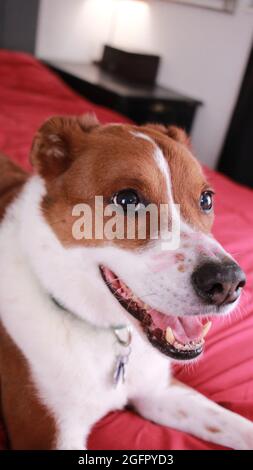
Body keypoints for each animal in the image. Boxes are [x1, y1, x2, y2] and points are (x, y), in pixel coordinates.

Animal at [0, 113, 252, 448]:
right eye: (128, 199)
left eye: (206, 199)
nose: (228, 283)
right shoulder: (49, 433)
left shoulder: (162, 391)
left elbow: (238, 425)